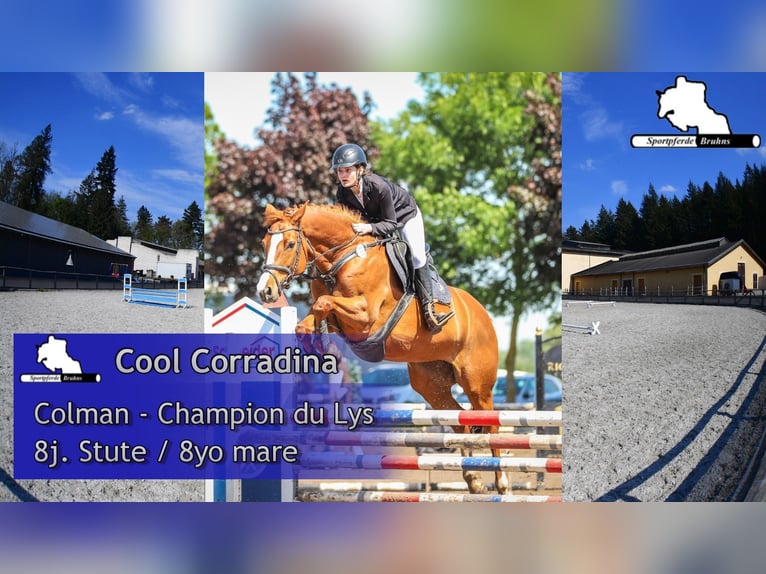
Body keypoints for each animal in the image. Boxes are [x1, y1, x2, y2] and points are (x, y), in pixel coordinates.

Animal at [256, 201, 505, 494]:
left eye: (290, 243)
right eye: (264, 243)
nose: (265, 292)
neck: (343, 257)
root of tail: (483, 314)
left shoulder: (366, 317)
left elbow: (323, 304)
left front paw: (326, 349)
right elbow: (308, 321)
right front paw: (322, 352)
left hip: (477, 382)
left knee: (491, 425)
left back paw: (502, 484)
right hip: (431, 385)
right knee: (461, 424)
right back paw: (474, 480)